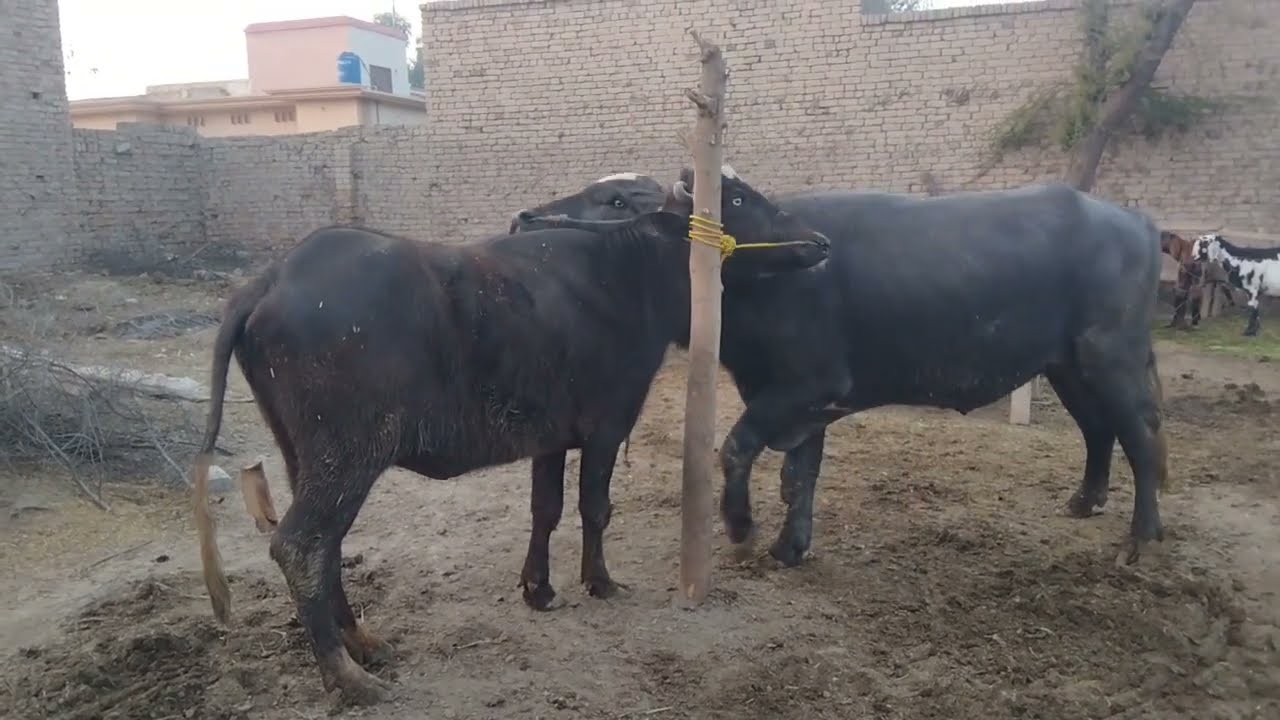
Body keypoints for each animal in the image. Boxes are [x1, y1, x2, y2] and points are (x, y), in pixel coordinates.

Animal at [190, 173, 830, 705]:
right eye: (738, 198)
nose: (819, 242)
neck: (625, 272)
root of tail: (270, 281)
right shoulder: (606, 425)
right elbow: (595, 507)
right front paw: (600, 581)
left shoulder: (549, 437)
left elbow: (545, 508)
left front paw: (539, 589)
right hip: (346, 457)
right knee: (300, 546)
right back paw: (349, 677)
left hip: (301, 455)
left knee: (327, 548)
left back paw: (364, 643)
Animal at [512, 168, 1170, 572]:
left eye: (618, 200)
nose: (524, 220)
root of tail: (1134, 220)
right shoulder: (800, 403)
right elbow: (799, 474)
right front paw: (790, 546)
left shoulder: (810, 386)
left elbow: (737, 448)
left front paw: (743, 528)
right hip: (1068, 365)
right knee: (1098, 430)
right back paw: (1085, 502)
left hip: (1110, 357)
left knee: (1141, 438)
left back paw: (1140, 538)